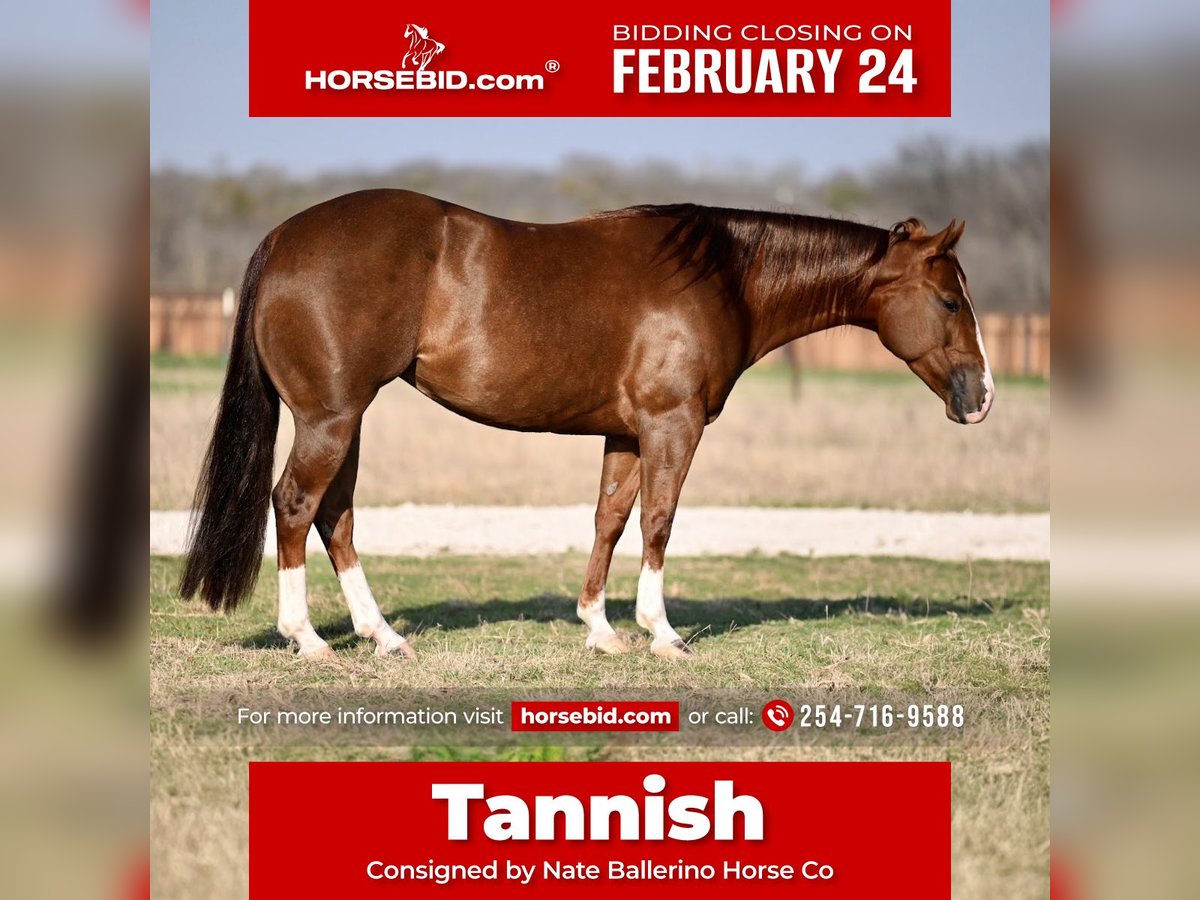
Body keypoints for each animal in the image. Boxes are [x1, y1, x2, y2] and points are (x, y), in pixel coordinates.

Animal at [177, 192, 988, 662]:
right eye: (950, 301)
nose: (980, 399)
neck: (722, 276)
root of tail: (285, 237)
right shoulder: (671, 426)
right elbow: (658, 521)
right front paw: (662, 633)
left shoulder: (626, 434)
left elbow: (610, 518)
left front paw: (600, 628)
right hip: (331, 418)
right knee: (295, 506)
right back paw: (309, 641)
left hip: (345, 418)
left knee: (334, 517)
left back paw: (383, 636)